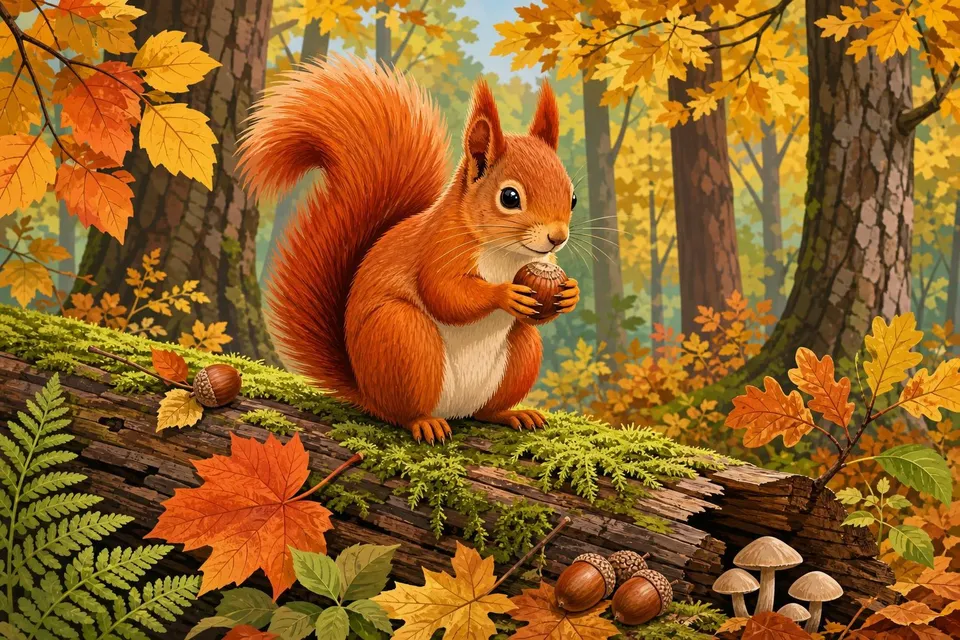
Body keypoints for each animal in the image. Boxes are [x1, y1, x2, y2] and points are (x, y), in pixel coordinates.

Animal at [238, 58, 580, 443]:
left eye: (572, 198)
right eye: (509, 197)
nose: (557, 238)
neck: (508, 253)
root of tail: (366, 391)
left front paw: (570, 293)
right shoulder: (438, 248)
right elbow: (444, 293)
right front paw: (504, 293)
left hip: (520, 353)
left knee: (487, 408)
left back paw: (512, 414)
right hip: (403, 337)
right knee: (401, 412)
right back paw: (424, 422)